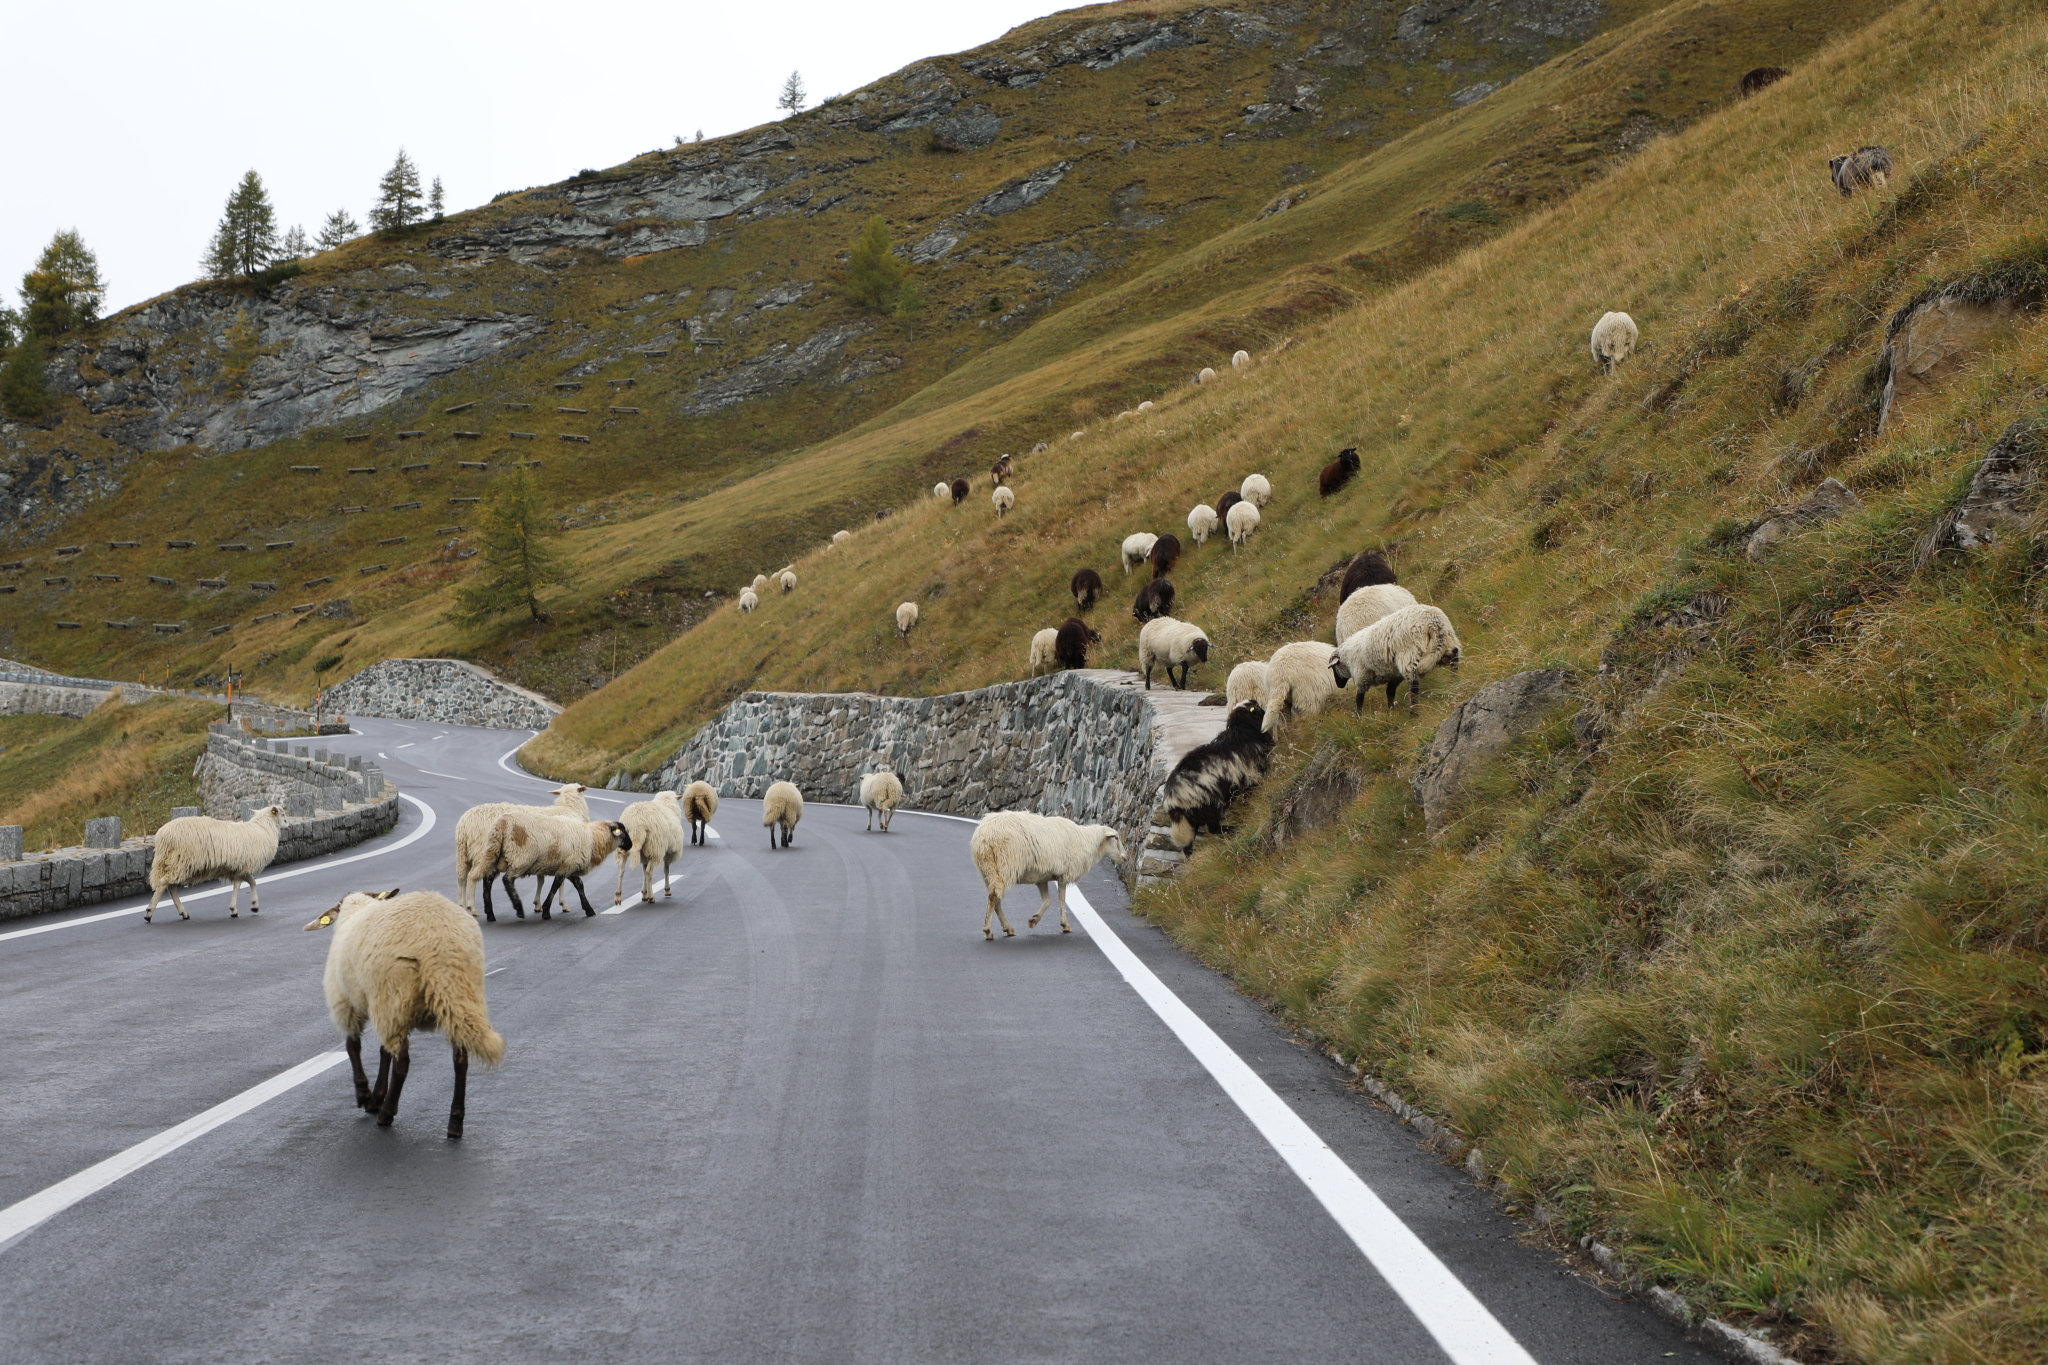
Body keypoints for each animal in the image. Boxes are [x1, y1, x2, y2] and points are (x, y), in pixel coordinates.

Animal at [145, 806, 284, 925]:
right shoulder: (242, 868)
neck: (264, 828)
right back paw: (149, 913)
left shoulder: (239, 869)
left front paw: (252, 906)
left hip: (175, 864)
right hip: (181, 862)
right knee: (164, 884)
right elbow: (242, 884)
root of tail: (163, 836)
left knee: (171, 886)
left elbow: (251, 882)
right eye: (282, 814)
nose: (287, 823)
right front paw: (236, 909)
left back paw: (183, 913)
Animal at [303, 892, 503, 1137]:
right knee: (460, 1060)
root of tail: (441, 943)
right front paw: (374, 1095)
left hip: (393, 994)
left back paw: (386, 1114)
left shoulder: (345, 1002)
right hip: (460, 998)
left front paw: (365, 1094)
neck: (357, 908)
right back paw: (455, 1123)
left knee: (402, 1064)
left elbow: (353, 1047)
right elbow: (382, 1052)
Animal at [966, 810, 1130, 941]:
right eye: (1116, 838)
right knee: (994, 898)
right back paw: (988, 930)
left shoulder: (1041, 877)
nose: (1126, 857)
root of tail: (984, 836)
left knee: (995, 899)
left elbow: (1047, 901)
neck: (1087, 842)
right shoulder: (1064, 874)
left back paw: (1008, 928)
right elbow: (1061, 899)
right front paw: (1065, 924)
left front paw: (1034, 920)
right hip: (1006, 866)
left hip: (989, 871)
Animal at [1163, 703, 1269, 855]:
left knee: (1188, 844)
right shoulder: (1252, 774)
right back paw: (1231, 829)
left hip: (1191, 819)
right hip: (1210, 805)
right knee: (1213, 828)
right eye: (1256, 706)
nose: (1265, 711)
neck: (1243, 729)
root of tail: (1172, 801)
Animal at [1335, 605, 1466, 716]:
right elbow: (1389, 692)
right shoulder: (1394, 675)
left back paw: (1413, 713)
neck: (1347, 656)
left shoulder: (1362, 676)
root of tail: (1433, 621)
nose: (1339, 685)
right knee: (1454, 655)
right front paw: (1391, 711)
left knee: (1414, 683)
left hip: (1409, 654)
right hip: (1446, 641)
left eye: (1334, 668)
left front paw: (1359, 716)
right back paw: (1454, 680)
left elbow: (1359, 698)